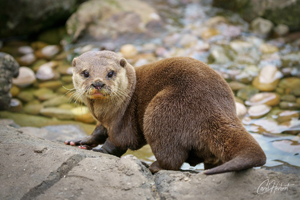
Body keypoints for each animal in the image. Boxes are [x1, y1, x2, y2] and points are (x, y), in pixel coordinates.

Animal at [65, 50, 264, 174]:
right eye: (85, 73)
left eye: (110, 73)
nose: (98, 83)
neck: (106, 112)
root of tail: (217, 108)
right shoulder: (106, 121)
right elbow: (98, 132)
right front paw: (80, 141)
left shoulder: (122, 120)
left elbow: (118, 143)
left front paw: (99, 150)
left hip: (161, 110)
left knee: (171, 159)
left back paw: (152, 166)